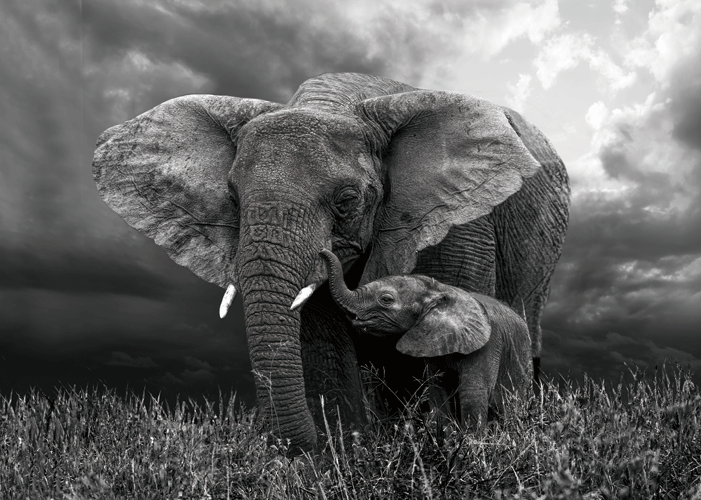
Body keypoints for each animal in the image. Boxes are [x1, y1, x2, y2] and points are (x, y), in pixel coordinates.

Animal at [320, 248, 533, 429]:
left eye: (386, 299)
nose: (322, 251)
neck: (440, 290)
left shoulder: (487, 345)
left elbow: (473, 395)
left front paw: (470, 448)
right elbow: (438, 393)